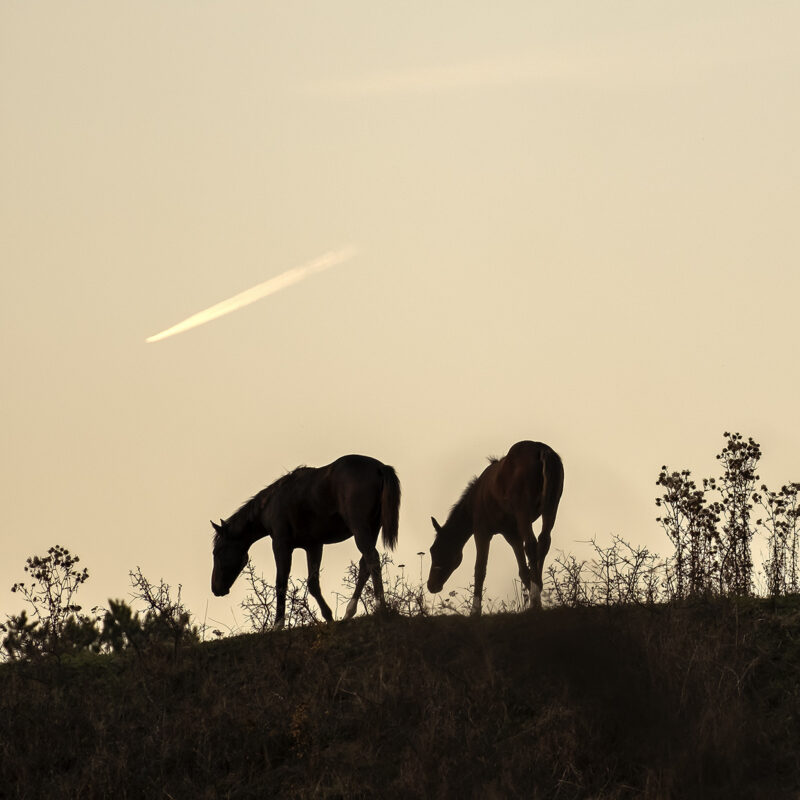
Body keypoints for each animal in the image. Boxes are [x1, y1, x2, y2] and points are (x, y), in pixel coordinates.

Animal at [211, 454, 400, 628]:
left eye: (217, 552)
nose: (215, 589)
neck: (271, 504)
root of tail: (379, 467)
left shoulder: (281, 545)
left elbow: (281, 583)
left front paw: (278, 624)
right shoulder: (313, 546)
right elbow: (313, 584)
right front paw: (329, 617)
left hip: (360, 528)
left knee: (372, 559)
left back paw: (381, 609)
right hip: (372, 529)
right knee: (365, 565)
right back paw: (349, 612)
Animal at [428, 440, 564, 616]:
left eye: (435, 550)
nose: (431, 585)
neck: (474, 501)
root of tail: (542, 449)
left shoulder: (482, 532)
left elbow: (480, 569)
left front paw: (475, 611)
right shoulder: (512, 534)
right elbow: (522, 570)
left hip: (523, 511)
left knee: (532, 545)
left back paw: (534, 600)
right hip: (551, 507)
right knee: (543, 542)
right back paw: (537, 595)